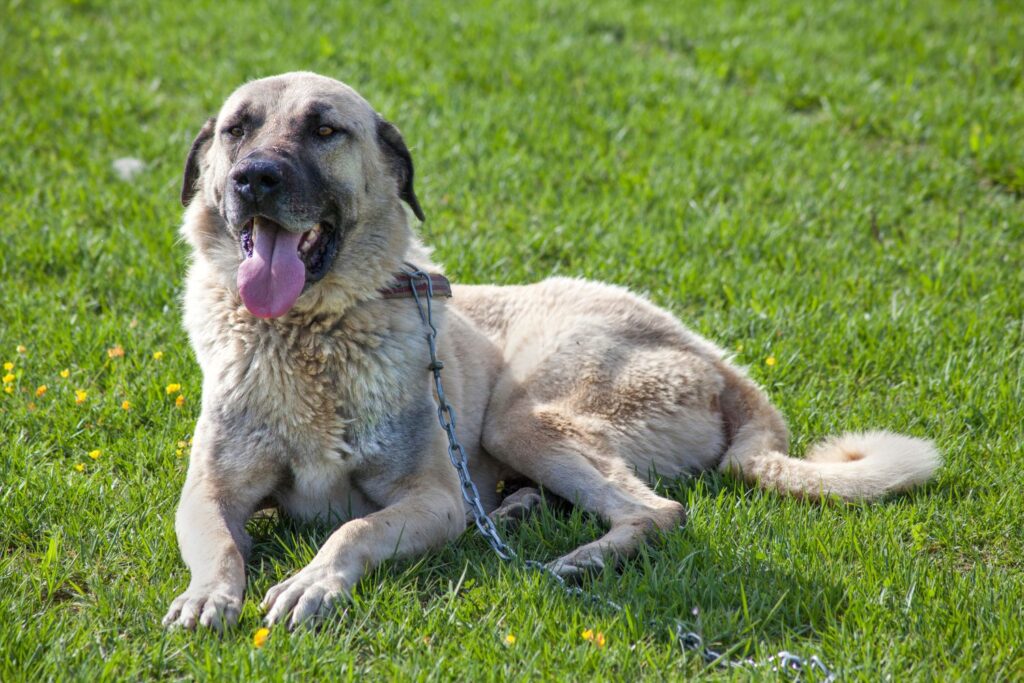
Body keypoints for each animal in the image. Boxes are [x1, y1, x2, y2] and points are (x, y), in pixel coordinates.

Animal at [161, 72, 942, 634]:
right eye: (237, 129)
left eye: (324, 129)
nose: (254, 178)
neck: (311, 334)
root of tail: (718, 361)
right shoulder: (209, 492)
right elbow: (223, 543)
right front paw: (209, 595)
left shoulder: (434, 498)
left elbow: (354, 527)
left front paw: (311, 583)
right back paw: (518, 513)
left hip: (523, 415)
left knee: (659, 511)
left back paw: (580, 559)